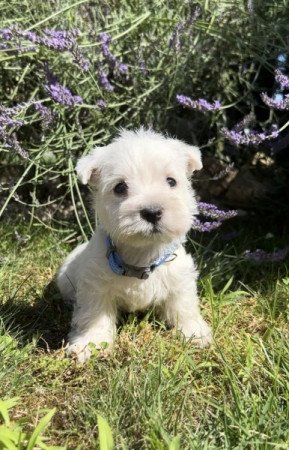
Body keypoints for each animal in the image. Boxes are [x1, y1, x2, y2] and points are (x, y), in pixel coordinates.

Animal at [56, 128, 212, 360]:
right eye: (120, 187)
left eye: (171, 181)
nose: (152, 212)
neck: (142, 255)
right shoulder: (95, 286)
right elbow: (93, 315)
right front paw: (90, 343)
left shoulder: (180, 279)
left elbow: (184, 306)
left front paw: (195, 332)